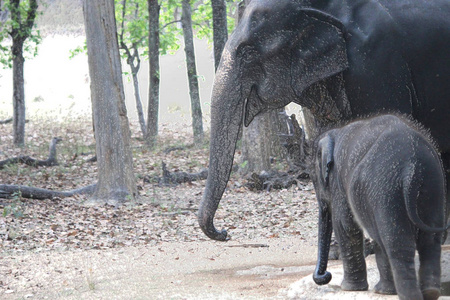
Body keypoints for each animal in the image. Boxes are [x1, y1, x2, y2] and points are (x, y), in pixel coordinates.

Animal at [312, 115, 448, 300]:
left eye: (315, 181)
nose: (326, 275)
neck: (334, 133)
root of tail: (411, 167)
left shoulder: (338, 182)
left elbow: (345, 226)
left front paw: (349, 289)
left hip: (385, 191)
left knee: (394, 243)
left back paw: (399, 294)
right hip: (433, 185)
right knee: (429, 241)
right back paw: (430, 292)